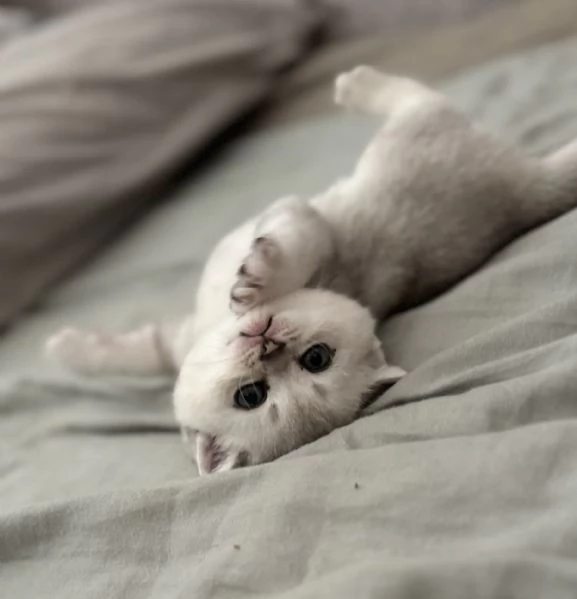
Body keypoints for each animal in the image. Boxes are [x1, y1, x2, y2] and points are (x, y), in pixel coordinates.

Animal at [46, 68, 577, 476]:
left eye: (316, 359)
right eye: (251, 395)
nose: (267, 343)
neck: (216, 323)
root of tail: (530, 191)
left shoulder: (311, 224)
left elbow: (290, 245)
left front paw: (257, 278)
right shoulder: (175, 341)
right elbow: (135, 351)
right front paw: (64, 349)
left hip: (416, 124)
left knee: (411, 94)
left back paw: (355, 83)